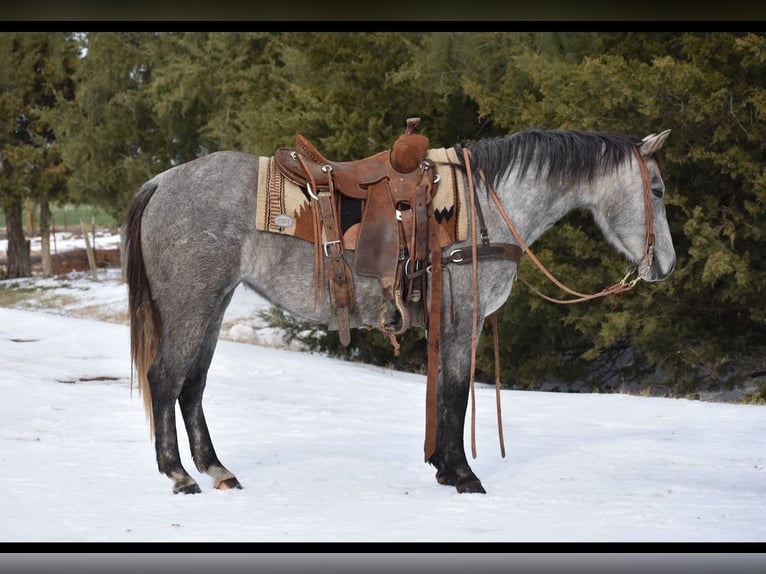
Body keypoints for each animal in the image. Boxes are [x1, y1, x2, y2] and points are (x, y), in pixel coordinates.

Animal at [125, 127, 676, 495]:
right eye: (658, 190)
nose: (665, 266)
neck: (483, 207)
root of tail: (161, 182)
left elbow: (446, 395)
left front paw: (444, 469)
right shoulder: (464, 321)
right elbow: (454, 395)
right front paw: (464, 476)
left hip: (213, 306)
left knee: (192, 385)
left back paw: (217, 470)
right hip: (191, 305)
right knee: (165, 378)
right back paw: (178, 475)